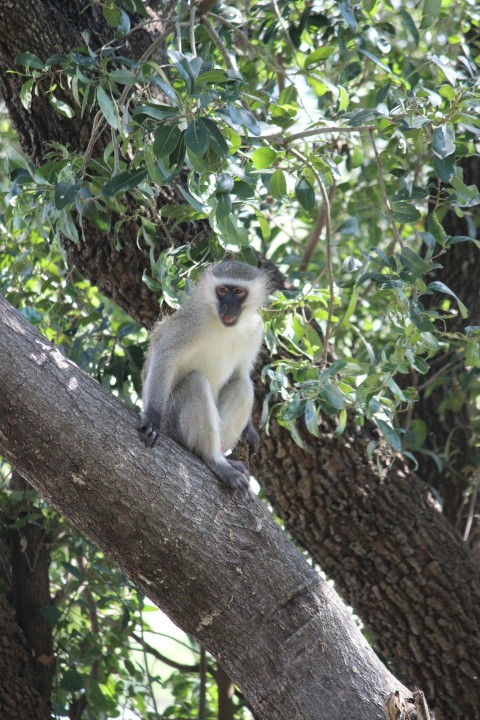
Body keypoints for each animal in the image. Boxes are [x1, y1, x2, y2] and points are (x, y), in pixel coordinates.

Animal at [136, 261, 269, 496]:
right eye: (222, 290)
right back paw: (215, 460)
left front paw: (250, 431)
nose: (228, 307)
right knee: (195, 382)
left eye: (239, 292)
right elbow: (165, 354)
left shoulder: (256, 328)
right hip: (172, 421)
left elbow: (240, 374)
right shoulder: (192, 320)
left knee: (243, 386)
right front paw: (151, 417)